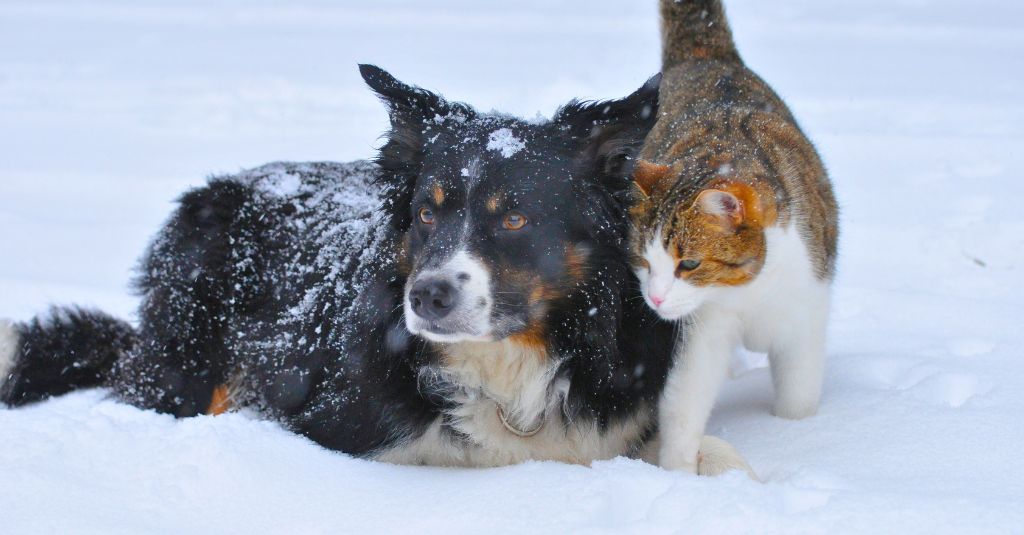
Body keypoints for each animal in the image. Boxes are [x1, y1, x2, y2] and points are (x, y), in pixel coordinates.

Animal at [0, 64, 753, 473]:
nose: (427, 297)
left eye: (515, 219)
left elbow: (702, 451)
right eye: (426, 213)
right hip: (189, 348)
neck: (507, 368)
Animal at [630, 0, 839, 471]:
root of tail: (706, 57)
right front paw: (676, 471)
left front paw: (798, 434)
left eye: (689, 263)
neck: (750, 289)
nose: (655, 299)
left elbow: (799, 396)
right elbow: (684, 400)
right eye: (644, 261)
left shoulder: (805, 311)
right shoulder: (702, 329)